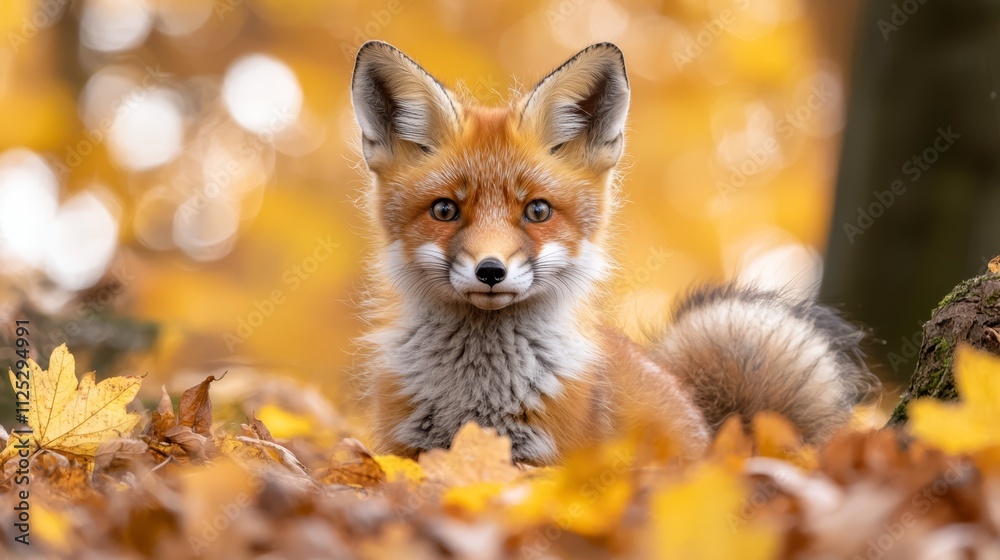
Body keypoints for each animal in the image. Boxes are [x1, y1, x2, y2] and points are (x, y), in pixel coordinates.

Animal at [350, 41, 878, 465]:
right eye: (445, 209)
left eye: (537, 210)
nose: (491, 271)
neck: (477, 393)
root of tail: (724, 439)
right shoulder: (405, 449)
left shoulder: (549, 463)